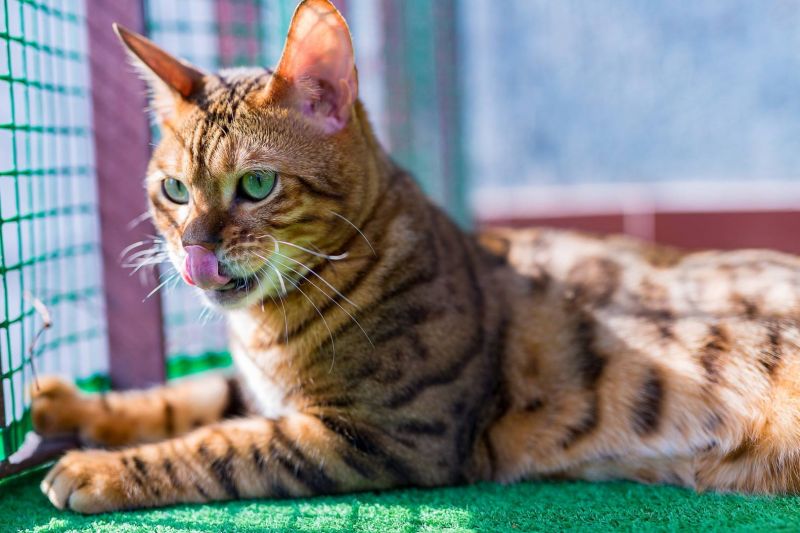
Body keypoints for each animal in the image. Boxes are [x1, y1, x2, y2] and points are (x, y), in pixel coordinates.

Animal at [31, 0, 800, 514]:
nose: (192, 249)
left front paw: (99, 469)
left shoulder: (383, 433)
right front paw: (69, 401)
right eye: (174, 189)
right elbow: (184, 394)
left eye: (255, 184)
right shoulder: (256, 385)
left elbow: (221, 445)